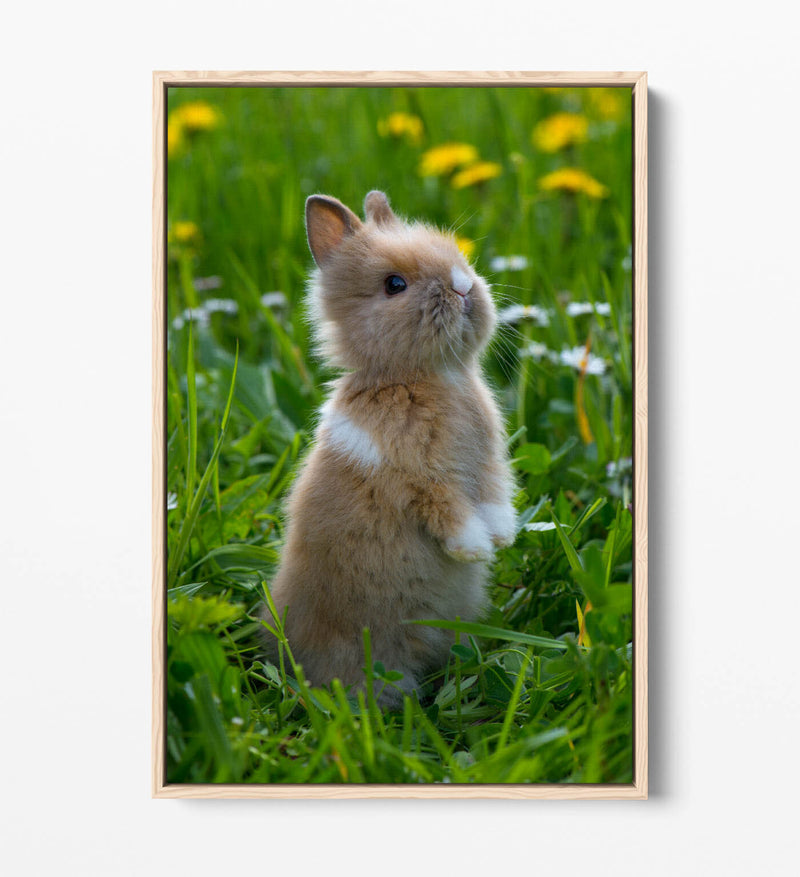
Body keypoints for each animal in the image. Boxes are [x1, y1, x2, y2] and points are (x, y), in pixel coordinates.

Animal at [261, 190, 516, 708]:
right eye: (394, 285)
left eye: (459, 257)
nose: (463, 286)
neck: (428, 376)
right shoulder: (417, 476)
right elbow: (449, 509)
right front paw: (475, 549)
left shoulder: (487, 464)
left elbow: (494, 493)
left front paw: (502, 538)